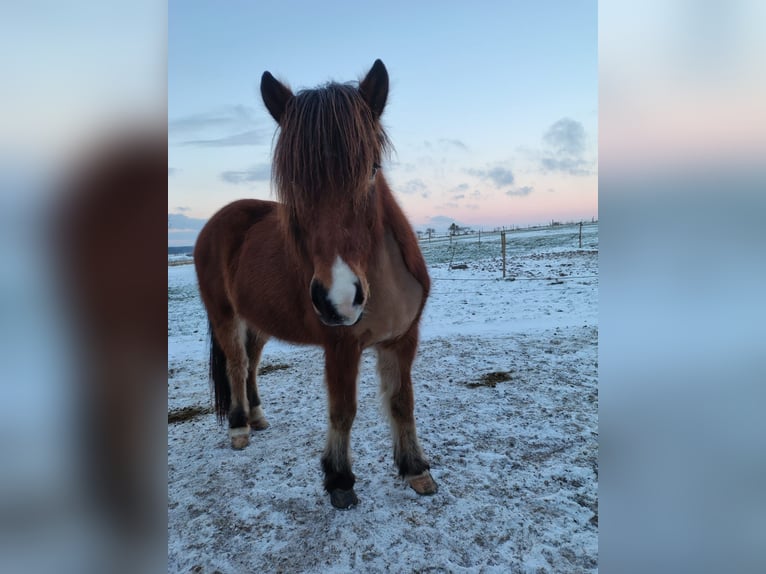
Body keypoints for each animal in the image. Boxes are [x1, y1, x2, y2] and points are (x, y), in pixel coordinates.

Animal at [194, 60, 437, 508]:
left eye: (371, 170)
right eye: (292, 182)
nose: (338, 299)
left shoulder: (402, 340)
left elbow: (401, 403)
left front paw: (415, 469)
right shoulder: (341, 346)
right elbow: (343, 411)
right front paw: (339, 479)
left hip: (259, 322)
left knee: (252, 362)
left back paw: (257, 416)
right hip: (224, 315)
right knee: (237, 364)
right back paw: (239, 427)